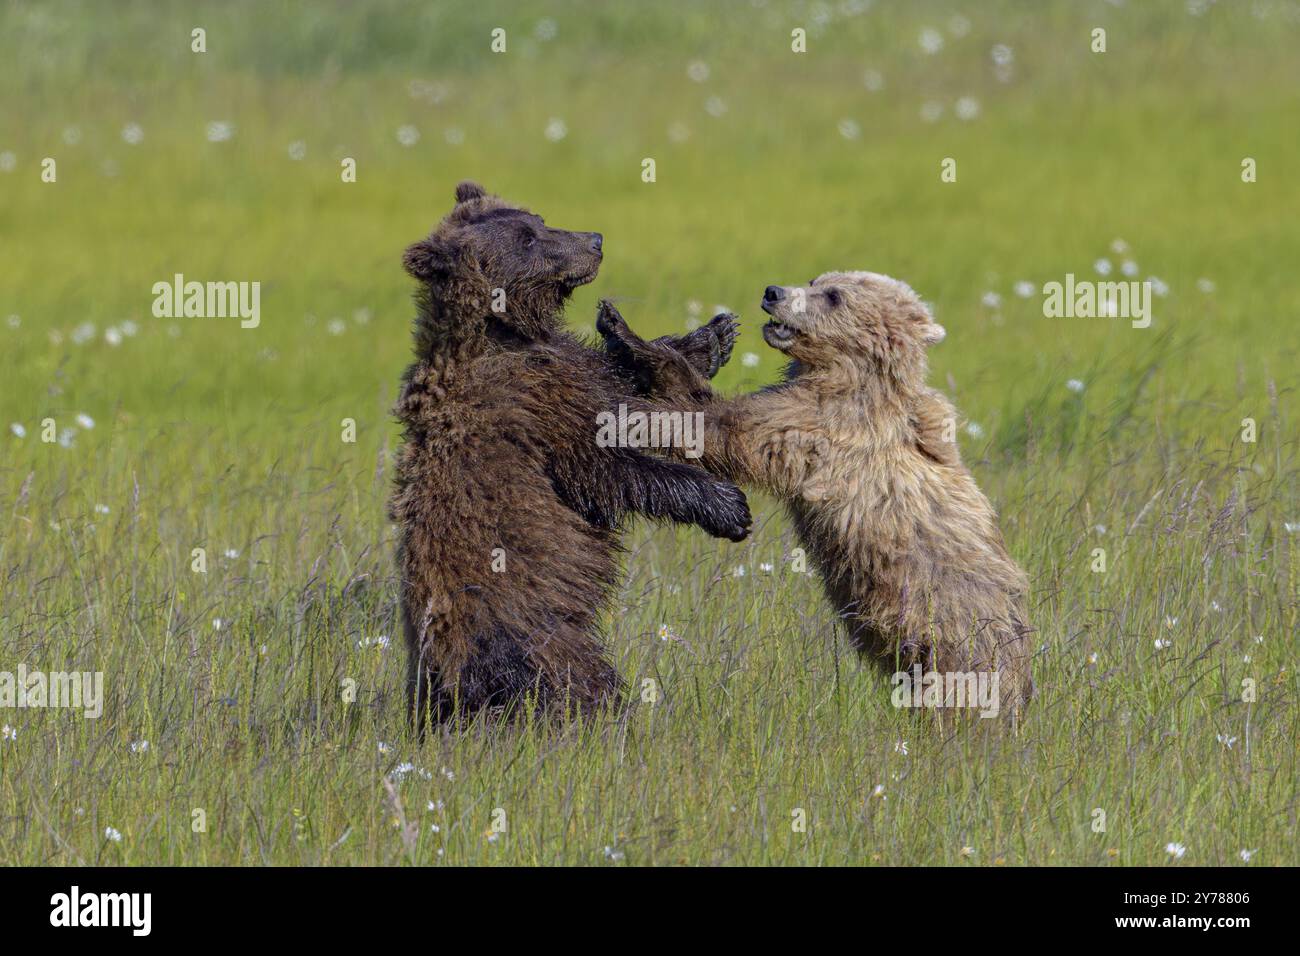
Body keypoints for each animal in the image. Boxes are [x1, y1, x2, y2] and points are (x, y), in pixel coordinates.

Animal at [390, 183, 748, 728]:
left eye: (538, 219)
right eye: (527, 239)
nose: (595, 240)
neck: (503, 329)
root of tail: (448, 680)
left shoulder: (560, 367)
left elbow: (616, 383)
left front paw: (709, 336)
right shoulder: (534, 402)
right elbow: (606, 463)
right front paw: (727, 505)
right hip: (534, 634)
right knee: (578, 680)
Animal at [598, 273, 1034, 723]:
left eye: (833, 295)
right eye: (815, 280)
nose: (773, 292)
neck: (845, 374)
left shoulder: (823, 425)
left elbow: (721, 426)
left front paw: (630, 377)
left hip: (955, 630)